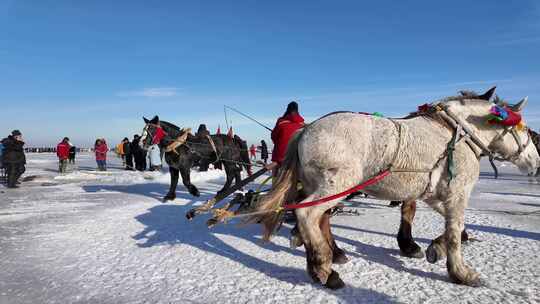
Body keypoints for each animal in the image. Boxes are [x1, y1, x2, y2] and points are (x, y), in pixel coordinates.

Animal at [251, 88, 536, 290]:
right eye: (525, 130)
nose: (536, 162)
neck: (455, 133)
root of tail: (307, 128)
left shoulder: (436, 196)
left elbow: (455, 229)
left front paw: (434, 248)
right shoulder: (457, 194)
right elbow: (456, 233)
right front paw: (461, 272)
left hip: (324, 186)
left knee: (321, 219)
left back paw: (329, 257)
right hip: (337, 185)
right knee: (307, 214)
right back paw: (323, 266)